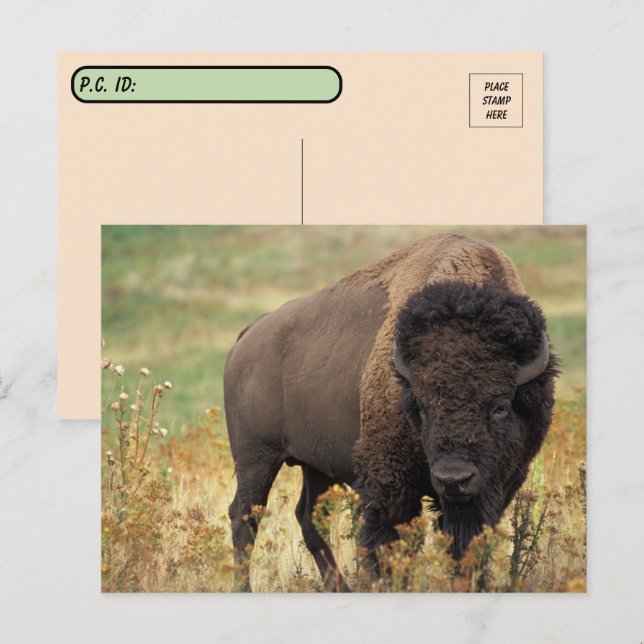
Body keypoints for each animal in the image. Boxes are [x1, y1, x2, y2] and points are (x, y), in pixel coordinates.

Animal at [224, 234, 558, 591]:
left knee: (308, 518)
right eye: (421, 406)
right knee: (245, 517)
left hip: (315, 465)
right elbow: (389, 542)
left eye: (500, 406)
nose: (453, 478)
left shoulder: (497, 486)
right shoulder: (390, 483)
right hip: (256, 459)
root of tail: (248, 336)